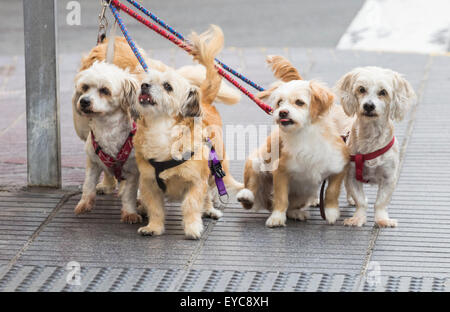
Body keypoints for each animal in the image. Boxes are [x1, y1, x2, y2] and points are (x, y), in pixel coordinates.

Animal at [73, 61, 142, 223]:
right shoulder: (92, 163)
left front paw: (130, 213)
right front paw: (84, 204)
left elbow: (129, 194)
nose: (84, 101)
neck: (107, 128)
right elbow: (88, 185)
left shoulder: (133, 172)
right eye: (85, 87)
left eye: (105, 90)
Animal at [133, 26, 243, 239]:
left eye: (167, 86)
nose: (144, 86)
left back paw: (209, 210)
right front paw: (154, 227)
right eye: (147, 81)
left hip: (216, 169)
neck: (161, 129)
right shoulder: (149, 183)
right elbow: (155, 208)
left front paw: (192, 228)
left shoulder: (196, 182)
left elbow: (191, 205)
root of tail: (204, 100)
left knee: (209, 193)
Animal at [236, 56, 352, 227]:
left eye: (299, 102)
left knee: (291, 205)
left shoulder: (339, 167)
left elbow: (331, 192)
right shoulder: (280, 171)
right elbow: (281, 198)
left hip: (305, 191)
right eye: (279, 103)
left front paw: (331, 213)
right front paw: (277, 217)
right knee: (255, 190)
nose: (282, 112)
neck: (305, 134)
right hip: (257, 161)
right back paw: (246, 195)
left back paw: (297, 212)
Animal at [336, 66, 416, 227]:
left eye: (383, 92)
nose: (368, 105)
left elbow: (380, 202)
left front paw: (382, 220)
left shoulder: (389, 178)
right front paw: (358, 218)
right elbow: (362, 201)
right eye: (361, 89)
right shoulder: (352, 176)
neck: (370, 138)